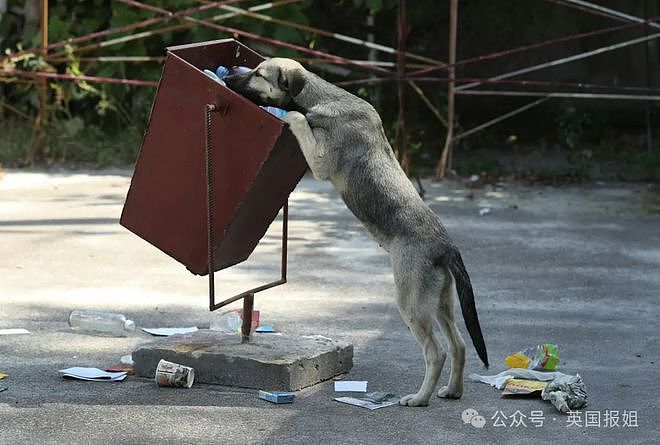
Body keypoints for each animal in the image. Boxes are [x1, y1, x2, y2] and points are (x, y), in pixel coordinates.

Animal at [224, 59, 488, 406]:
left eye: (259, 74)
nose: (229, 75)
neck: (321, 98)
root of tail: (447, 247)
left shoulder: (320, 161)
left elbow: (299, 119)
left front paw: (291, 115)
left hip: (412, 303)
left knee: (437, 352)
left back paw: (419, 398)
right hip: (440, 302)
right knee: (458, 345)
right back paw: (452, 391)